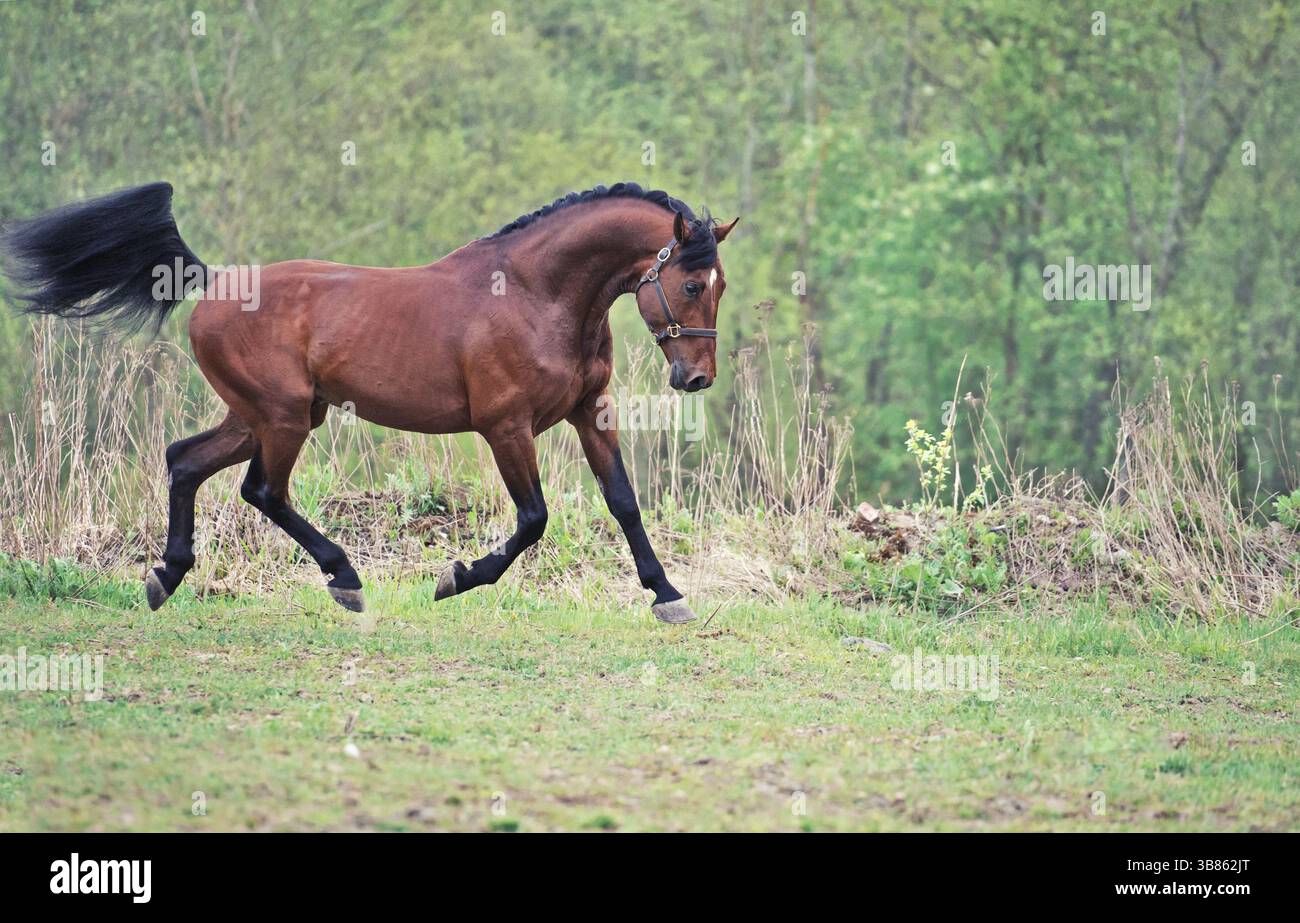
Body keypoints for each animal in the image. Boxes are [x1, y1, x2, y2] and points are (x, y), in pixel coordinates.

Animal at [1, 182, 738, 624]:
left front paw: (667, 595)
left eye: (720, 286)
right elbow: (533, 519)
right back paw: (344, 578)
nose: (696, 378)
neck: (537, 294)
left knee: (185, 461)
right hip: (283, 416)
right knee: (262, 490)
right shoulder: (506, 427)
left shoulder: (592, 412)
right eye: (692, 283)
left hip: (260, 416)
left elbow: (624, 501)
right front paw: (456, 577)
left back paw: (167, 576)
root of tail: (212, 282)